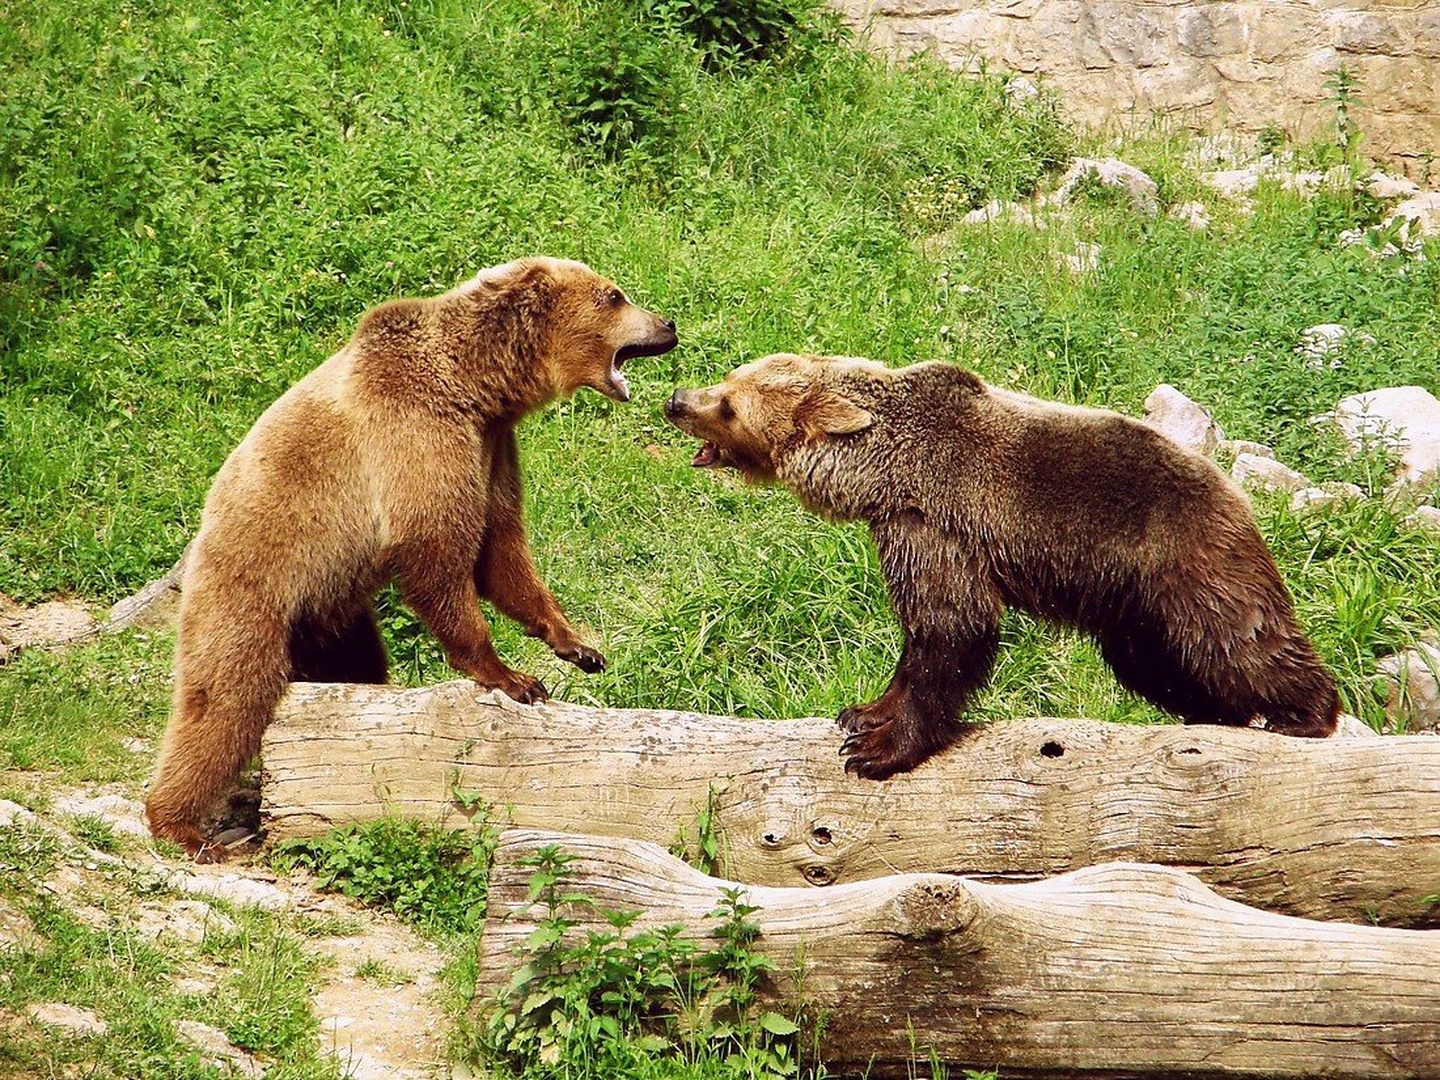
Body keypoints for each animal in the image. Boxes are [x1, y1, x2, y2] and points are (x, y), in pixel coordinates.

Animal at [147, 257, 678, 859]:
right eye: (614, 295)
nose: (667, 325)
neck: (477, 385)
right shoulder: (419, 435)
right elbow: (437, 554)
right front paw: (512, 677)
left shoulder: (491, 447)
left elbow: (500, 550)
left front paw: (578, 646)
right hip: (254, 585)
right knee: (225, 698)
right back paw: (180, 825)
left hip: (333, 611)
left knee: (355, 666)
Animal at [664, 353, 1339, 780]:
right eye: (727, 379)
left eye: (727, 405)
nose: (676, 400)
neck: (878, 473)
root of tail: (1233, 489)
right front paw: (863, 713)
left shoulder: (933, 525)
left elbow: (951, 626)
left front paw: (879, 749)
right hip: (1134, 611)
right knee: (1162, 667)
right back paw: (1215, 716)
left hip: (1181, 559)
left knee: (1237, 642)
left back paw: (1305, 716)